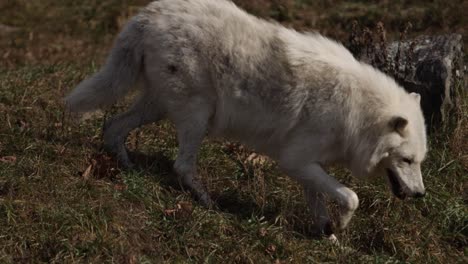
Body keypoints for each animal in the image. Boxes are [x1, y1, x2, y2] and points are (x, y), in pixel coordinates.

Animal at [65, 0, 428, 237]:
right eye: (407, 160)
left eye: (419, 161)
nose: (422, 195)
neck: (357, 111)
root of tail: (147, 15)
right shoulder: (294, 161)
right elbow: (351, 197)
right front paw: (338, 227)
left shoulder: (306, 164)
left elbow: (319, 203)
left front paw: (329, 234)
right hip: (197, 116)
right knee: (181, 166)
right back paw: (209, 204)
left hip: (158, 108)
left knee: (113, 127)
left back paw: (127, 168)